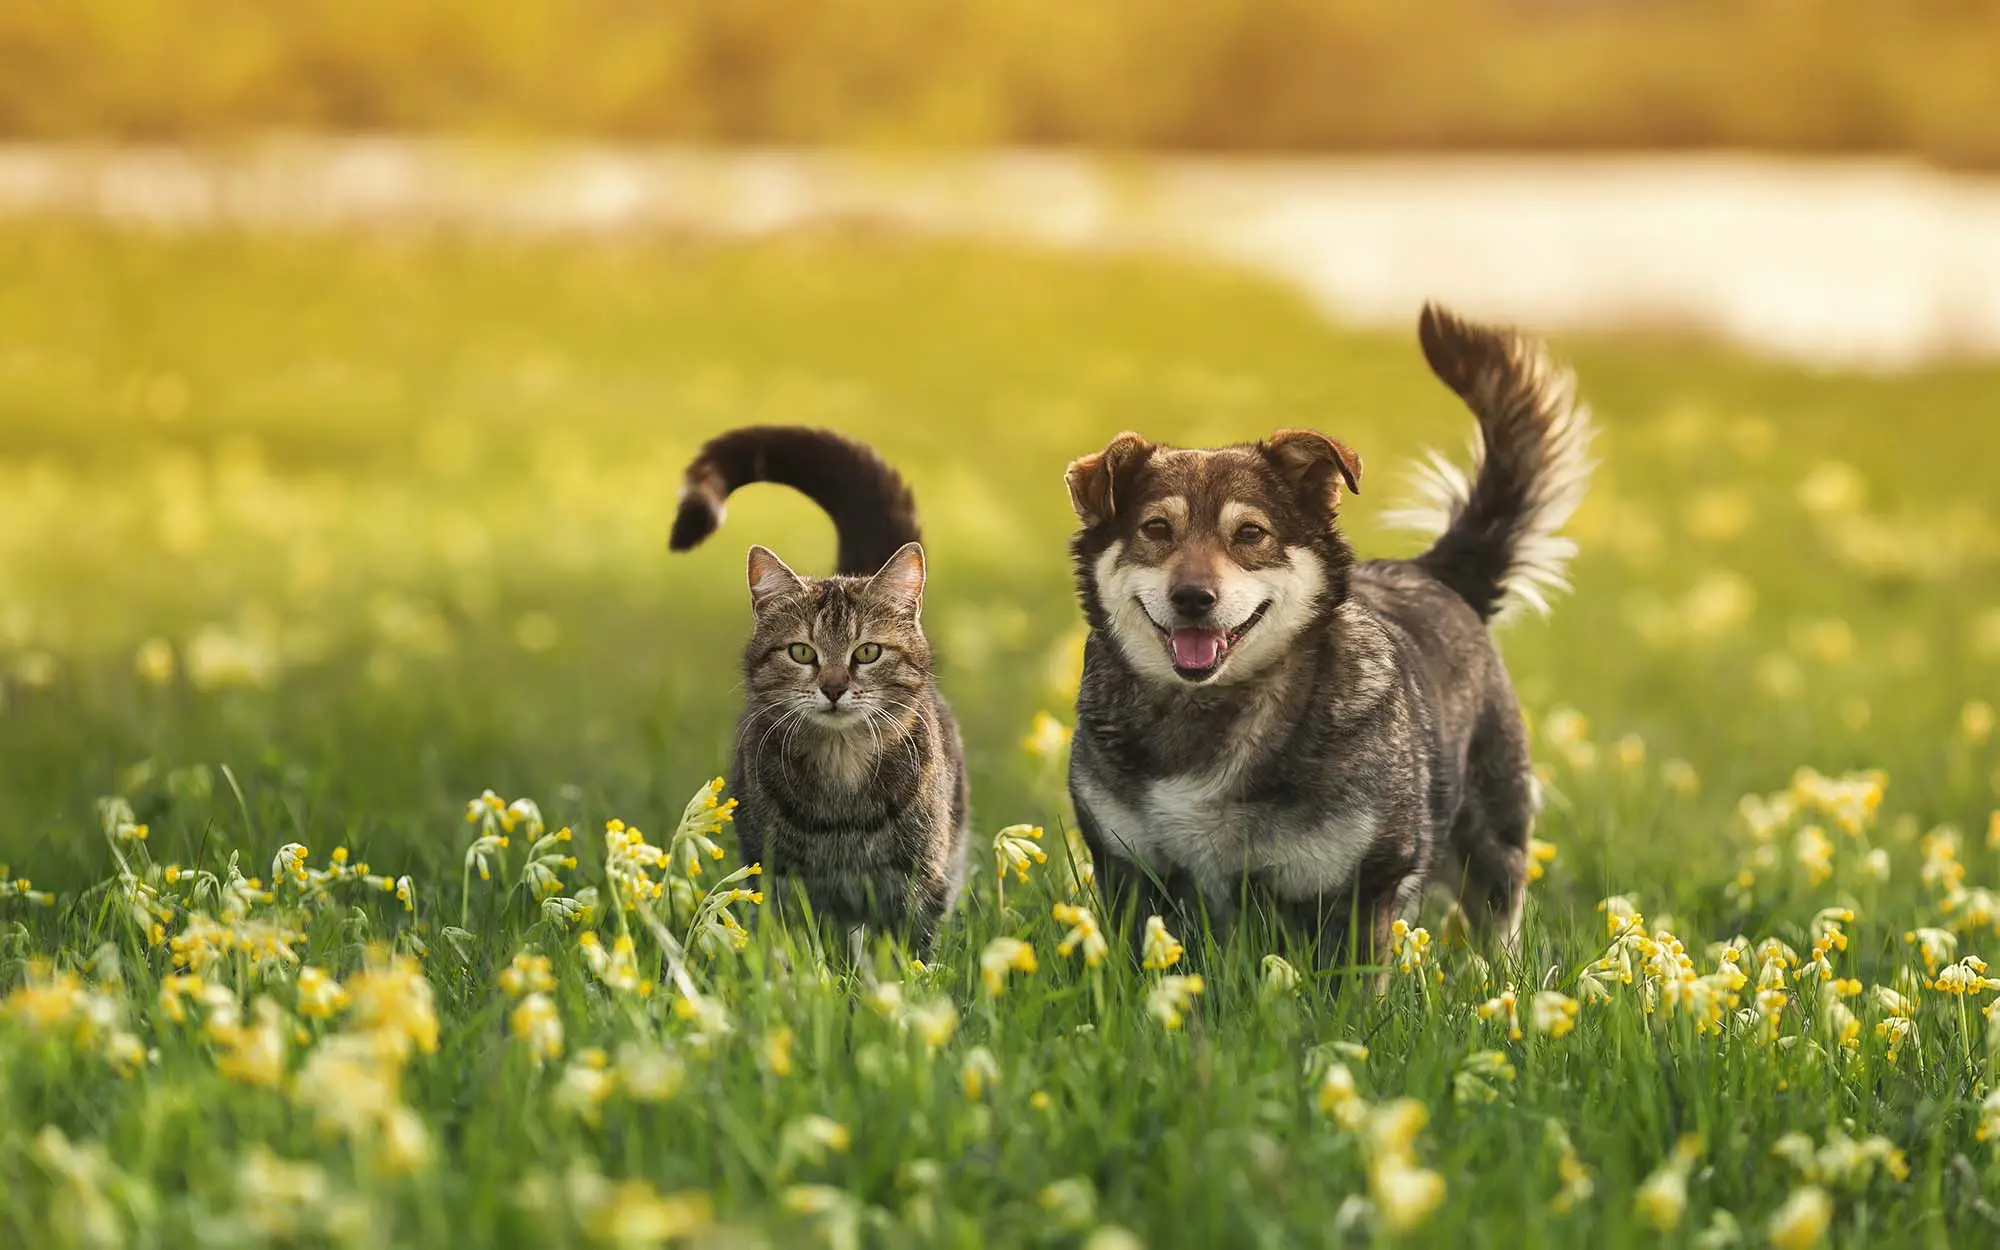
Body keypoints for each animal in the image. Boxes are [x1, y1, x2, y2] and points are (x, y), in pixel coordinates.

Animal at [668, 424, 972, 952]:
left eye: (866, 653)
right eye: (802, 652)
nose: (833, 687)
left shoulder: (921, 879)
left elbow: (913, 953)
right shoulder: (778, 876)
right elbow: (790, 948)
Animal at [1064, 302, 1592, 964]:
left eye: (1251, 534)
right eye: (1156, 529)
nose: (1193, 598)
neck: (1209, 711)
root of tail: (1434, 571)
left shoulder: (1359, 889)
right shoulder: (1130, 872)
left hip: (1493, 844)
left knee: (1499, 926)